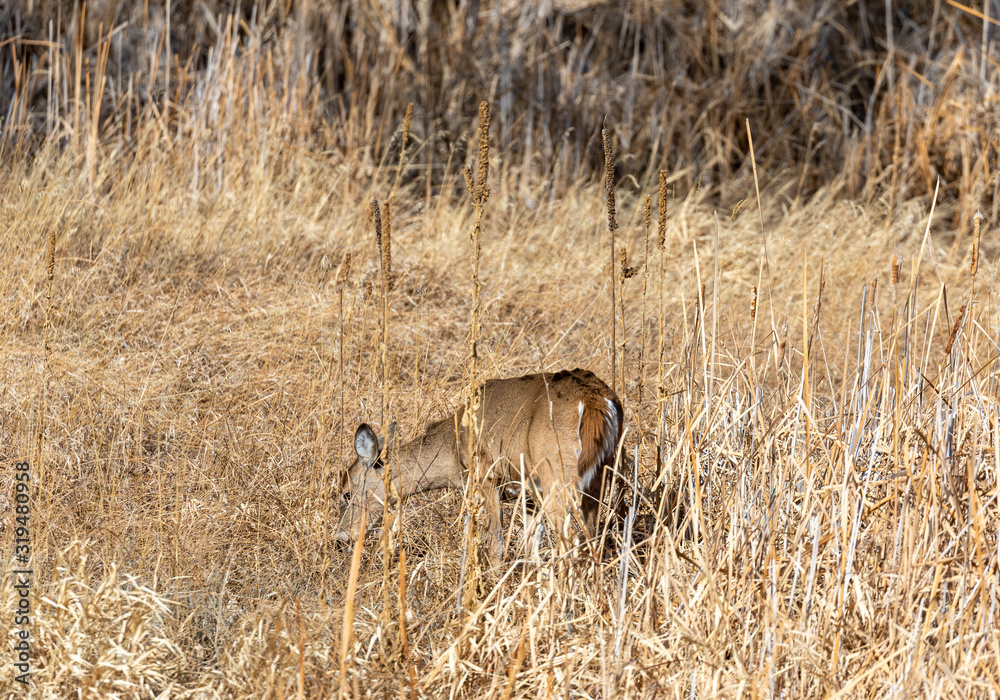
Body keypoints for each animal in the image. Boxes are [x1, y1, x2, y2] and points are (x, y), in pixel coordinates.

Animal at [333, 368, 624, 566]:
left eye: (346, 492)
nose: (341, 537)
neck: (453, 449)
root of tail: (596, 400)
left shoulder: (488, 477)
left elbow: (496, 547)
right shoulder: (530, 493)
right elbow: (530, 549)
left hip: (557, 474)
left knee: (572, 543)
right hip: (598, 476)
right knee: (592, 541)